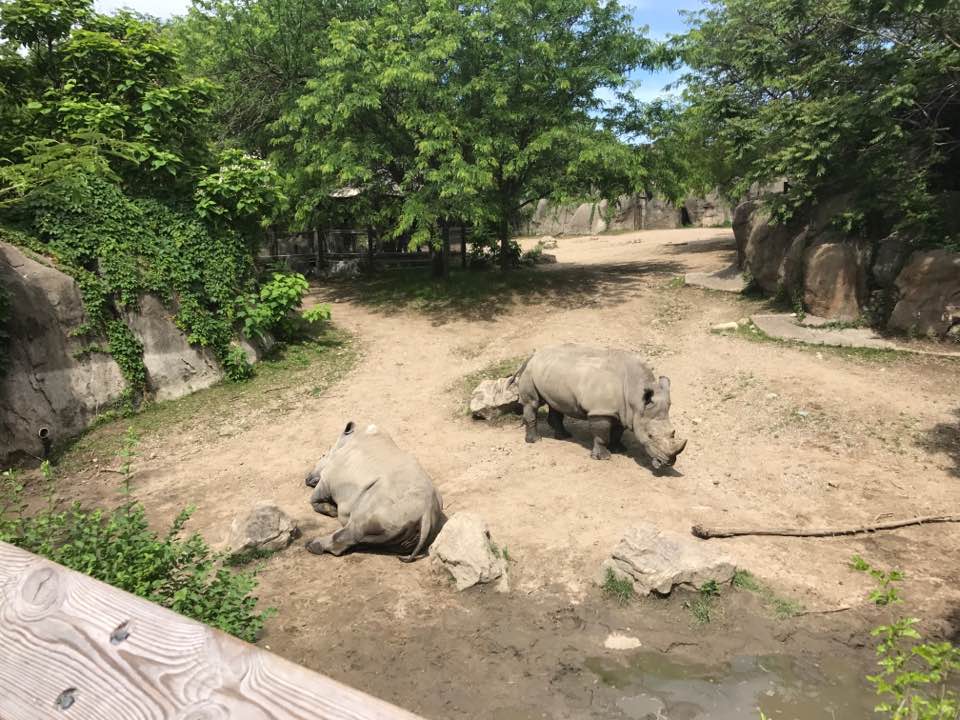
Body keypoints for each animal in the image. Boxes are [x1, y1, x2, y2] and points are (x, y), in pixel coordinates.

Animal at [304, 421, 445, 561]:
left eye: (322, 455)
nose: (307, 479)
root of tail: (426, 514)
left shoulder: (327, 478)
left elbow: (314, 498)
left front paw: (331, 511)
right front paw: (332, 510)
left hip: (389, 507)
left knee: (356, 527)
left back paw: (311, 545)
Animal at [513, 344, 687, 468]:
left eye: (673, 432)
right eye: (650, 436)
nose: (669, 462)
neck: (635, 395)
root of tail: (533, 354)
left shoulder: (623, 411)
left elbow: (617, 432)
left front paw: (619, 449)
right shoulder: (601, 411)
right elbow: (602, 434)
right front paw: (603, 457)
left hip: (551, 372)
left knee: (555, 403)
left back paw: (564, 436)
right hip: (530, 372)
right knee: (532, 403)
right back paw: (536, 441)